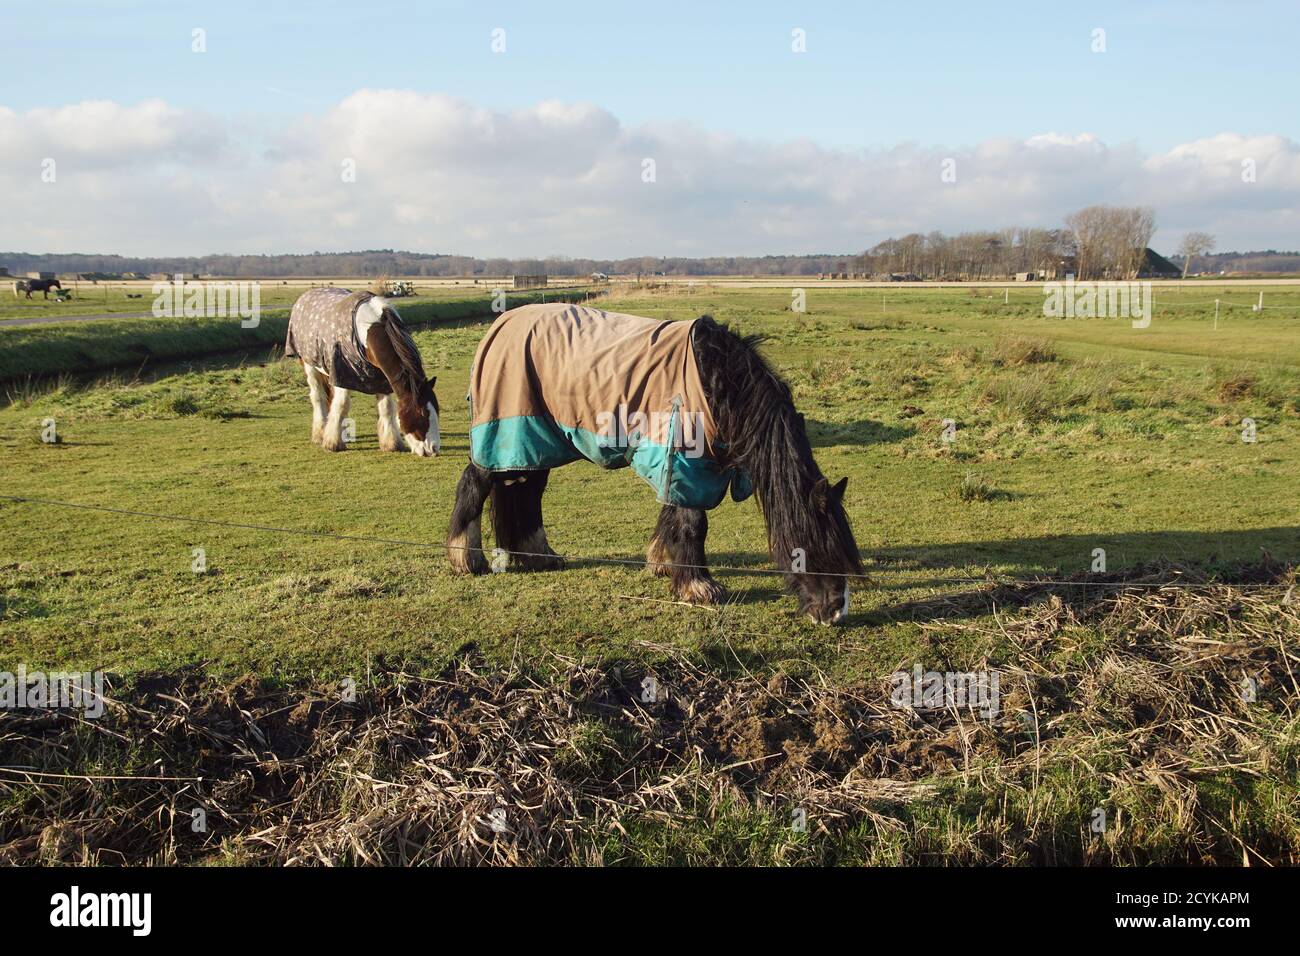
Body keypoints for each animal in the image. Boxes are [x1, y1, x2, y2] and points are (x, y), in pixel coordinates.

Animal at [285, 288, 440, 456]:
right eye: (423, 413)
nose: (433, 449)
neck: (366, 332)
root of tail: (305, 295)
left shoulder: (382, 379)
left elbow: (386, 408)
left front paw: (391, 443)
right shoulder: (342, 375)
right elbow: (342, 405)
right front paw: (332, 444)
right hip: (310, 365)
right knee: (318, 397)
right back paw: (320, 434)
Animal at [446, 303, 863, 624]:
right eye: (818, 547)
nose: (834, 614)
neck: (718, 383)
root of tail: (498, 327)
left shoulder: (684, 463)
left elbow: (673, 513)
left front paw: (664, 564)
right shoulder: (686, 456)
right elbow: (694, 521)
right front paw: (698, 586)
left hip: (534, 439)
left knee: (526, 491)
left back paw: (538, 555)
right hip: (505, 428)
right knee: (475, 483)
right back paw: (466, 558)